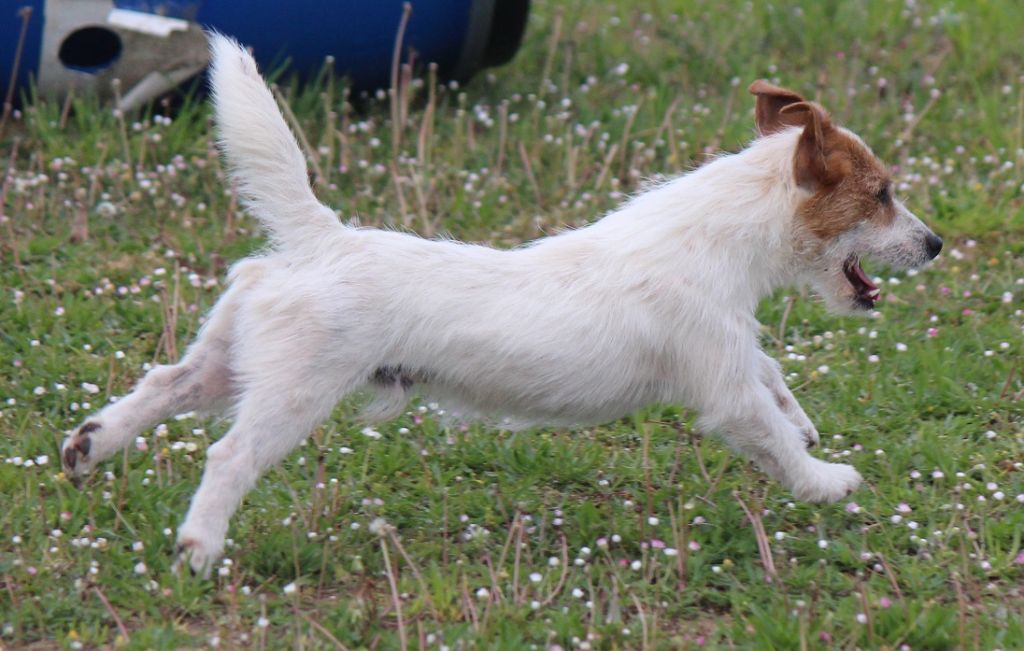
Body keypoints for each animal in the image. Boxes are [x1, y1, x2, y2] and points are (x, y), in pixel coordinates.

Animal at [61, 35, 942, 573]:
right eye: (883, 194)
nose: (934, 243)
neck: (718, 236)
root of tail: (322, 242)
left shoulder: (735, 350)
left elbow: (774, 375)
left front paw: (806, 421)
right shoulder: (723, 388)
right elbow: (773, 436)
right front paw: (827, 478)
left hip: (229, 357)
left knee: (162, 386)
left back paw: (91, 444)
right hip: (293, 391)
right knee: (229, 455)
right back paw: (199, 544)